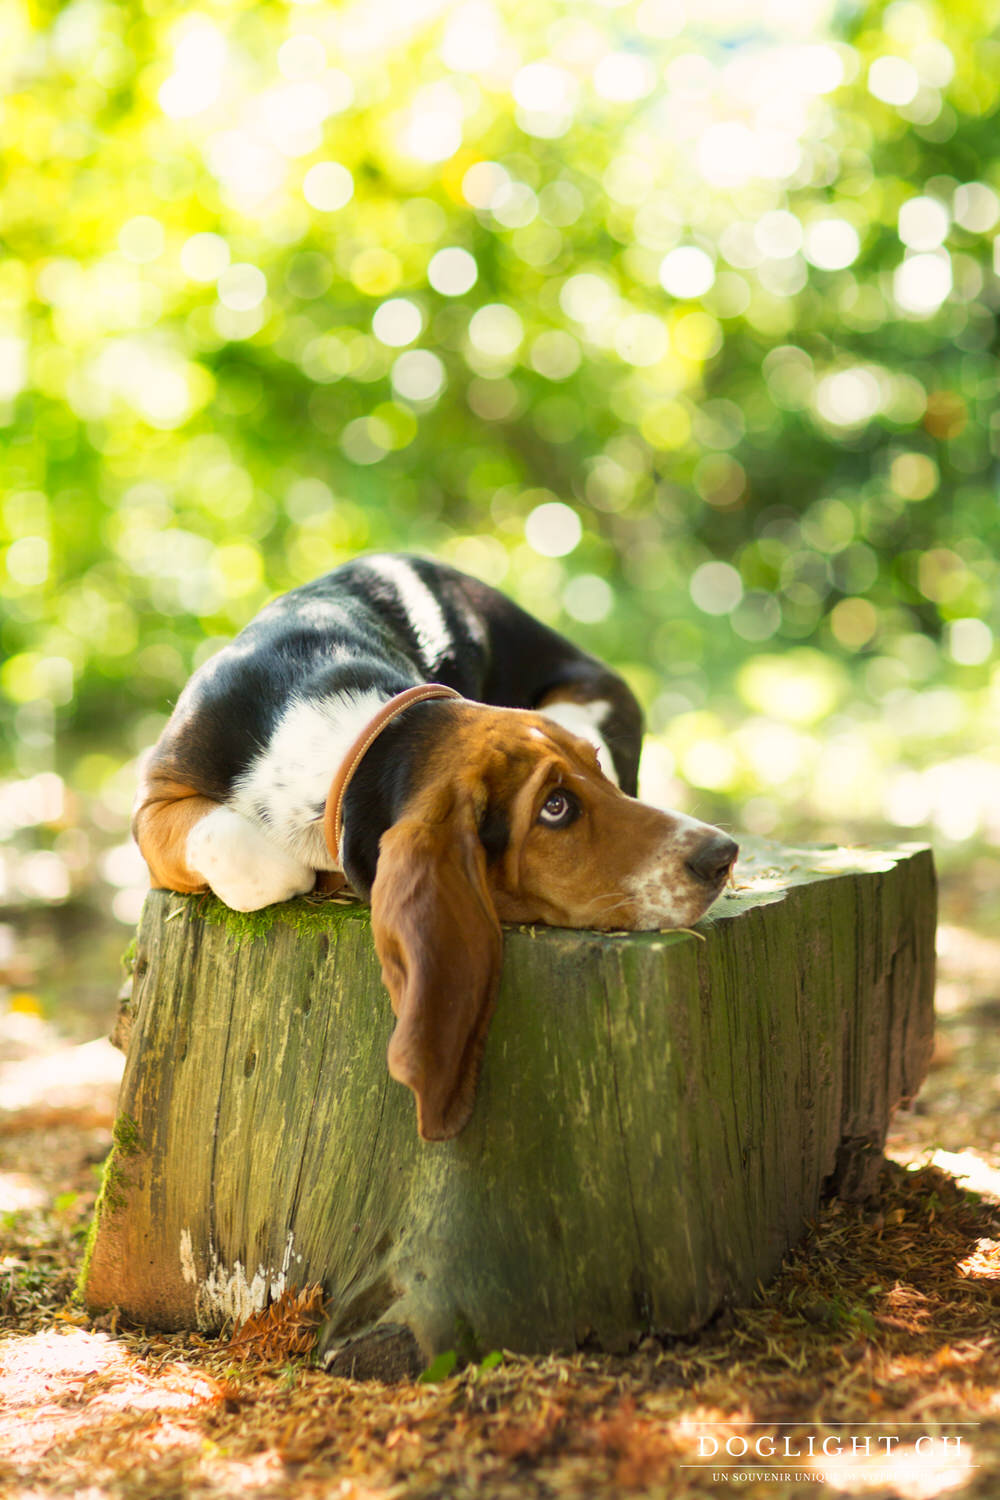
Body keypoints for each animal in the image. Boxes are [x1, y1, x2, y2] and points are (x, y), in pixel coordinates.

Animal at [132, 552, 740, 1134]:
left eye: (595, 774)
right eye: (555, 807)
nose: (723, 855)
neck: (354, 743)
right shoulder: (151, 806)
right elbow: (251, 855)